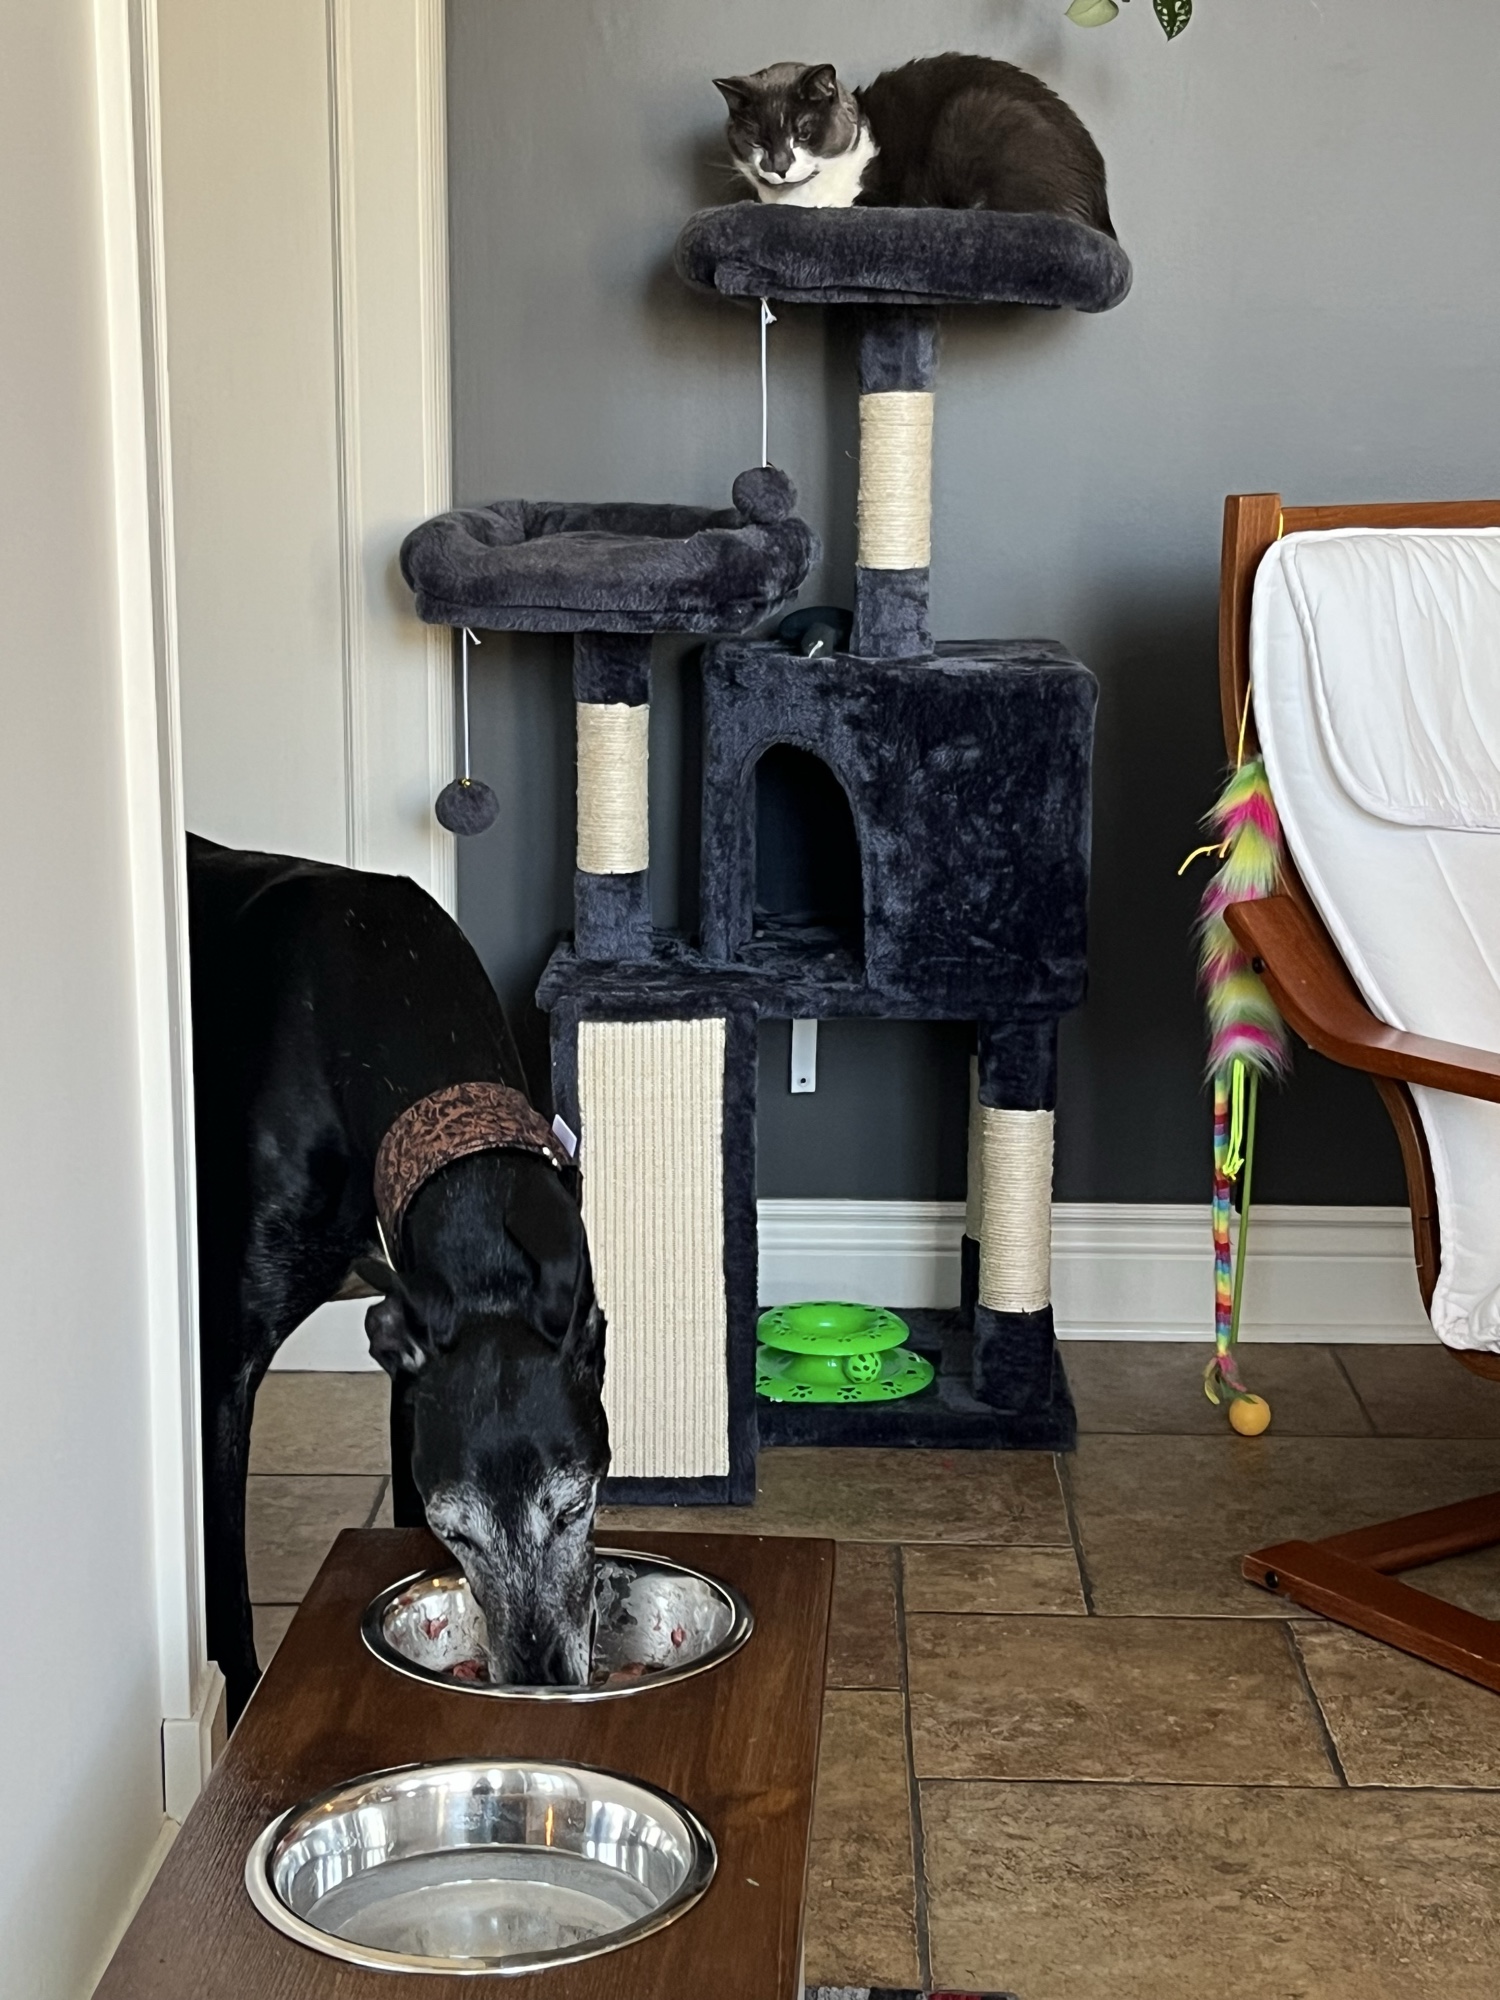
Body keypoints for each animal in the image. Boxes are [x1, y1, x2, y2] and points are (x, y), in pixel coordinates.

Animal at [187, 836, 609, 1722]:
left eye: (577, 1504)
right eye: (458, 1533)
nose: (545, 1678)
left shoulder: (408, 1367)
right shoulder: (220, 1374)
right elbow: (226, 1593)